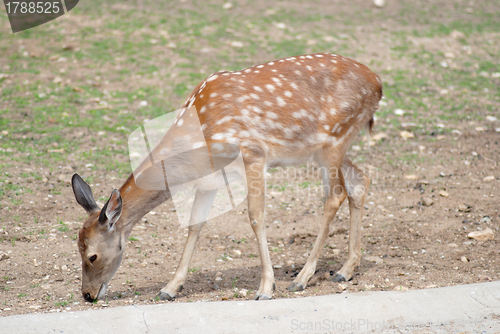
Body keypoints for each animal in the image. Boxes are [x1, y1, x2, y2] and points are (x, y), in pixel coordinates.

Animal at [71, 52, 382, 302]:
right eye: (77, 247)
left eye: (92, 255)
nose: (87, 294)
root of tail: (378, 84)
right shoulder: (210, 177)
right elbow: (195, 224)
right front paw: (170, 288)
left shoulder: (254, 153)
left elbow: (256, 216)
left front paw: (266, 288)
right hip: (324, 150)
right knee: (360, 180)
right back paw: (344, 270)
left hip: (335, 139)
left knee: (336, 195)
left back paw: (302, 278)